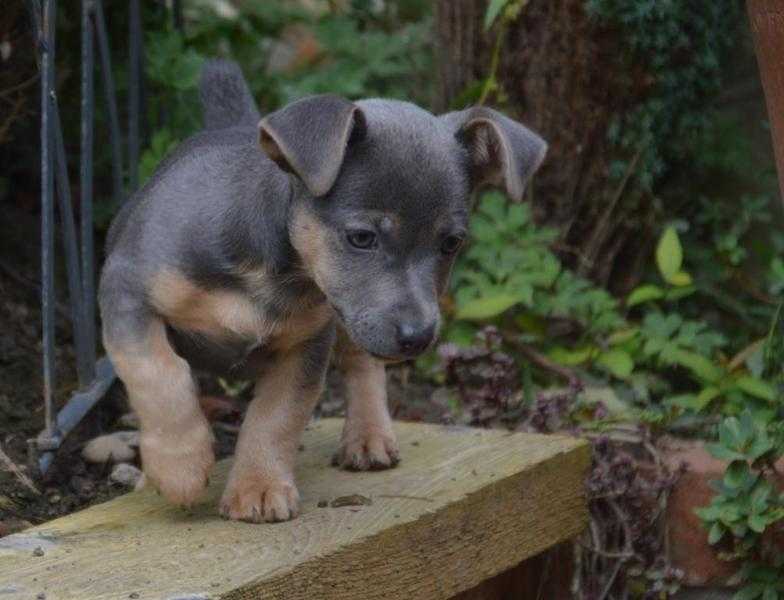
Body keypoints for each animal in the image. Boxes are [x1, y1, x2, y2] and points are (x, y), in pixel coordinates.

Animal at [99, 58, 544, 524]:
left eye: (452, 243)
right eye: (361, 238)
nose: (418, 337)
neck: (269, 269)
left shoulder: (308, 345)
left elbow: (275, 416)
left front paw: (259, 486)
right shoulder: (126, 293)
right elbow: (158, 373)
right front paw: (179, 466)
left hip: (348, 325)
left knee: (364, 366)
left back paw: (368, 436)